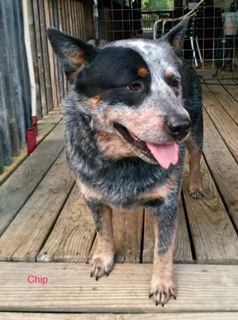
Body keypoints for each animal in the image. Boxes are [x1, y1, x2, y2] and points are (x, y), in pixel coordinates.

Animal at [48, 18, 203, 308]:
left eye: (173, 82)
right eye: (133, 85)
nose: (181, 126)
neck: (122, 162)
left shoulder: (167, 203)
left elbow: (163, 248)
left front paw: (162, 284)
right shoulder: (92, 196)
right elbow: (103, 231)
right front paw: (103, 259)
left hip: (197, 130)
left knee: (197, 155)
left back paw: (197, 185)